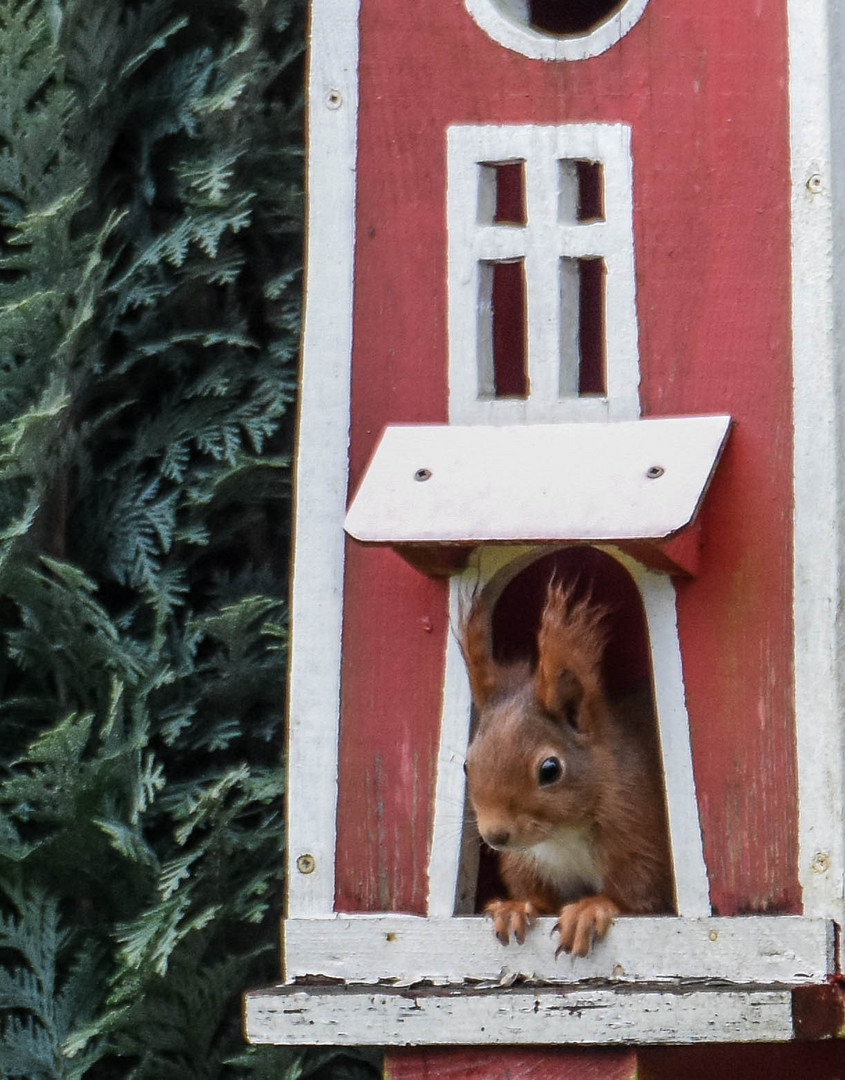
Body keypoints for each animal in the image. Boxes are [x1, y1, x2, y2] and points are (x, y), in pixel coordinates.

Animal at [460, 578, 669, 959]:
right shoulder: (526, 862)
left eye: (550, 769)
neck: (561, 834)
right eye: (467, 765)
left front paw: (590, 908)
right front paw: (514, 907)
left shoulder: (640, 835)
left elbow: (637, 898)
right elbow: (536, 896)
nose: (496, 835)